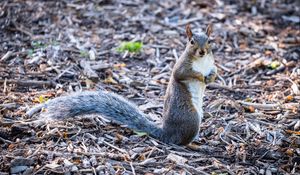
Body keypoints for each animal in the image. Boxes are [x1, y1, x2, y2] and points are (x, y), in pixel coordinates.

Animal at [25, 24, 217, 145]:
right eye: (191, 41)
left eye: (209, 40)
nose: (202, 51)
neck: (201, 61)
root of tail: (166, 133)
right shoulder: (181, 67)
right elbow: (183, 75)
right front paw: (201, 77)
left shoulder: (211, 63)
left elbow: (214, 71)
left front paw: (211, 77)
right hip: (191, 119)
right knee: (180, 142)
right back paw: (192, 145)